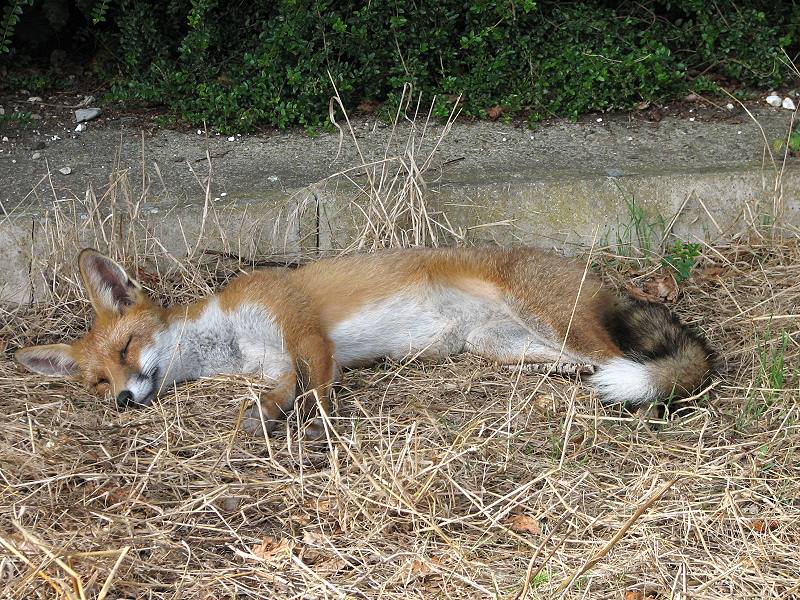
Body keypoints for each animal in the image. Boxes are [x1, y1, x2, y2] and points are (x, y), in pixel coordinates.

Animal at [14, 246, 712, 438]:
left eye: (126, 350)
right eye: (98, 381)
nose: (123, 400)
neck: (227, 334)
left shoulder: (301, 325)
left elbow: (320, 388)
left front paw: (321, 430)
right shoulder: (275, 361)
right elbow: (282, 391)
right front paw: (264, 419)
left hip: (557, 321)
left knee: (634, 364)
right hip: (518, 346)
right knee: (591, 366)